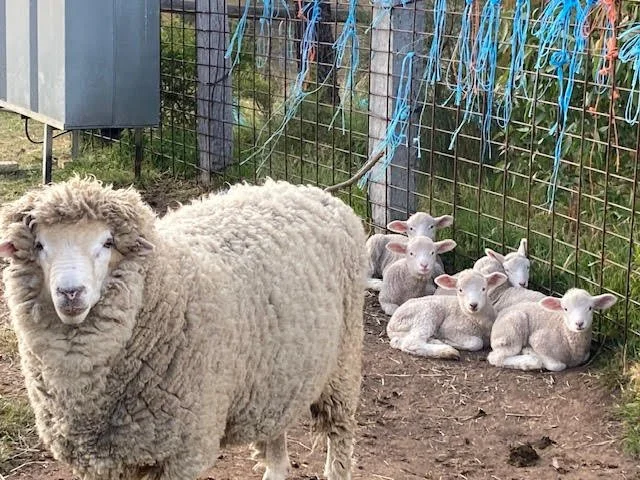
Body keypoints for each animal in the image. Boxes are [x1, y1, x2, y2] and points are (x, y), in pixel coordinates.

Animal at [0, 176, 366, 480]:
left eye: (107, 243)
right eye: (40, 245)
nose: (70, 292)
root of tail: (312, 191)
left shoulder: (184, 452)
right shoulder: (103, 459)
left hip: (344, 361)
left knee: (341, 432)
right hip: (277, 373)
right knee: (276, 441)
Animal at [487, 289, 617, 371]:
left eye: (590, 308)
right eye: (565, 309)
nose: (579, 323)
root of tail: (501, 313)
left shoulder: (585, 354)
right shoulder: (538, 340)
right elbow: (557, 366)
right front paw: (530, 352)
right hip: (511, 331)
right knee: (495, 358)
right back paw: (528, 360)